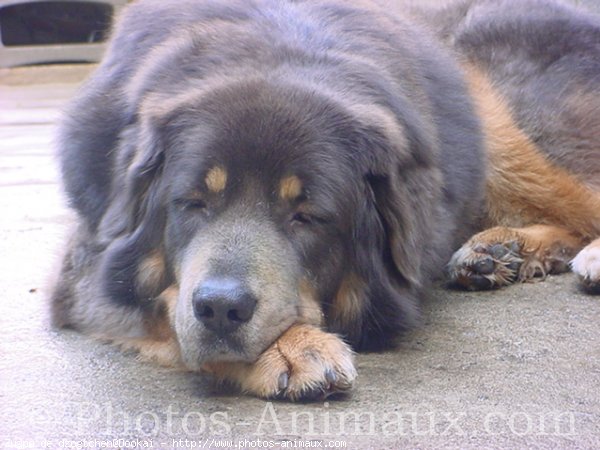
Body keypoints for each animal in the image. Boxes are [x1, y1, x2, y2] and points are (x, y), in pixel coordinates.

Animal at [51, 0, 600, 400]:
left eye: (307, 216)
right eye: (193, 202)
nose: (220, 308)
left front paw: (289, 345)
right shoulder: (88, 272)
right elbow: (166, 304)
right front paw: (293, 348)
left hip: (500, 119)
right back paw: (503, 251)